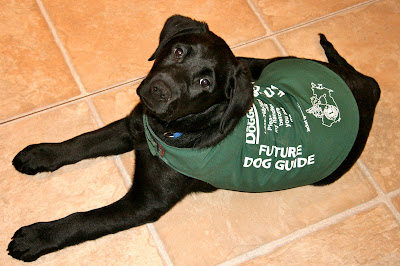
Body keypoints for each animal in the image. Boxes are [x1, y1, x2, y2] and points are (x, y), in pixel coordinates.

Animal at [7, 15, 380, 262]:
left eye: (205, 83)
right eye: (178, 51)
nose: (158, 90)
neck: (170, 129)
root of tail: (365, 85)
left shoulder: (144, 203)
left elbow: (85, 220)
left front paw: (38, 236)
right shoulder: (133, 126)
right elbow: (83, 141)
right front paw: (39, 154)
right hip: (266, 64)